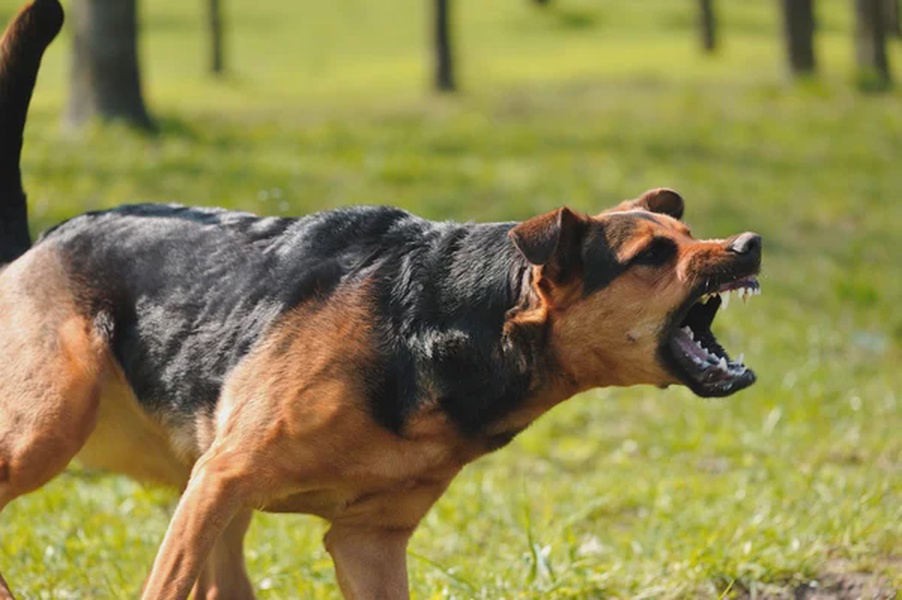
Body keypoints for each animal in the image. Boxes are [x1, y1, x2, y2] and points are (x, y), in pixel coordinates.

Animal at [0, 2, 764, 596]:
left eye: (688, 233)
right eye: (654, 255)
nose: (750, 243)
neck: (447, 326)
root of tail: (36, 245)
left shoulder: (365, 539)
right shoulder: (223, 479)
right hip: (52, 430)